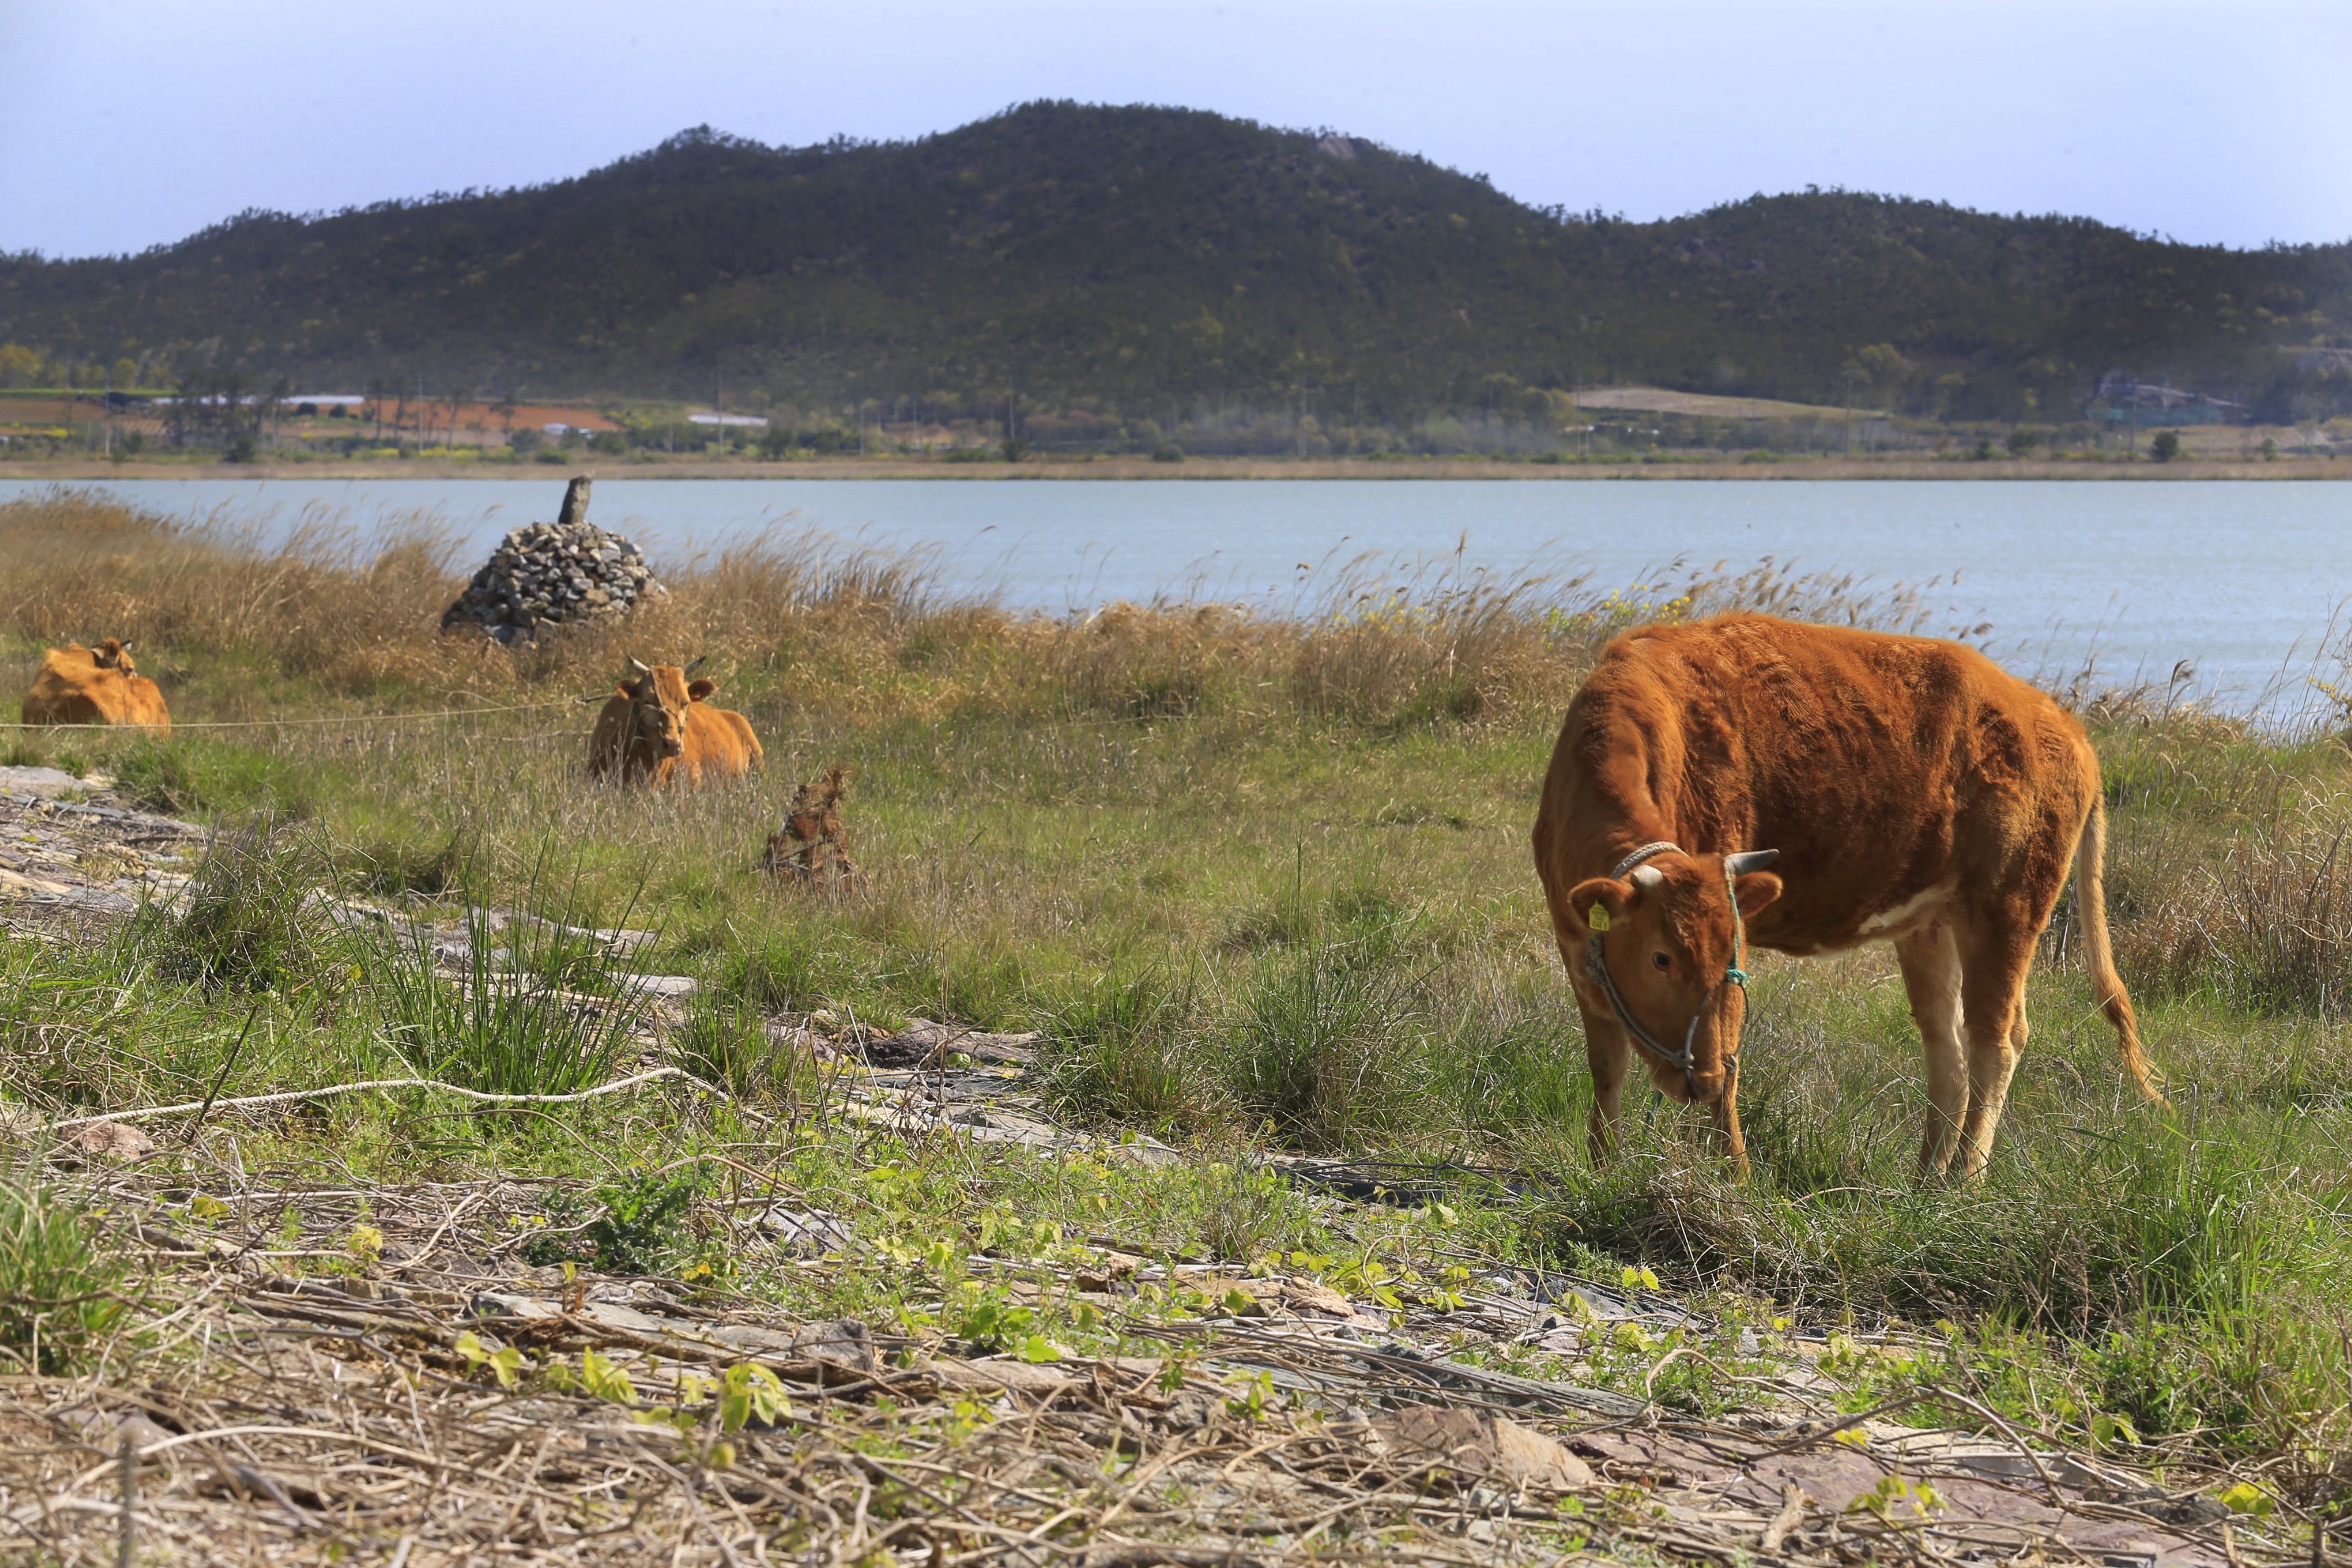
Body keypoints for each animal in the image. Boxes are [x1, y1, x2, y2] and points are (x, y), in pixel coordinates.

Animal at [1524, 611, 2163, 1175]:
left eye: (1728, 958)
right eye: (1661, 958)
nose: (1699, 1077)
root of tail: (2066, 727)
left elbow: (1730, 1066)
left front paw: (1736, 1179)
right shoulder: (1576, 948)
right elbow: (1607, 1065)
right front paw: (1601, 1169)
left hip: (2009, 906)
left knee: (1996, 1040)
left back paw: (1964, 1179)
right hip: (1933, 925)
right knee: (1948, 1044)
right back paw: (1925, 1181)